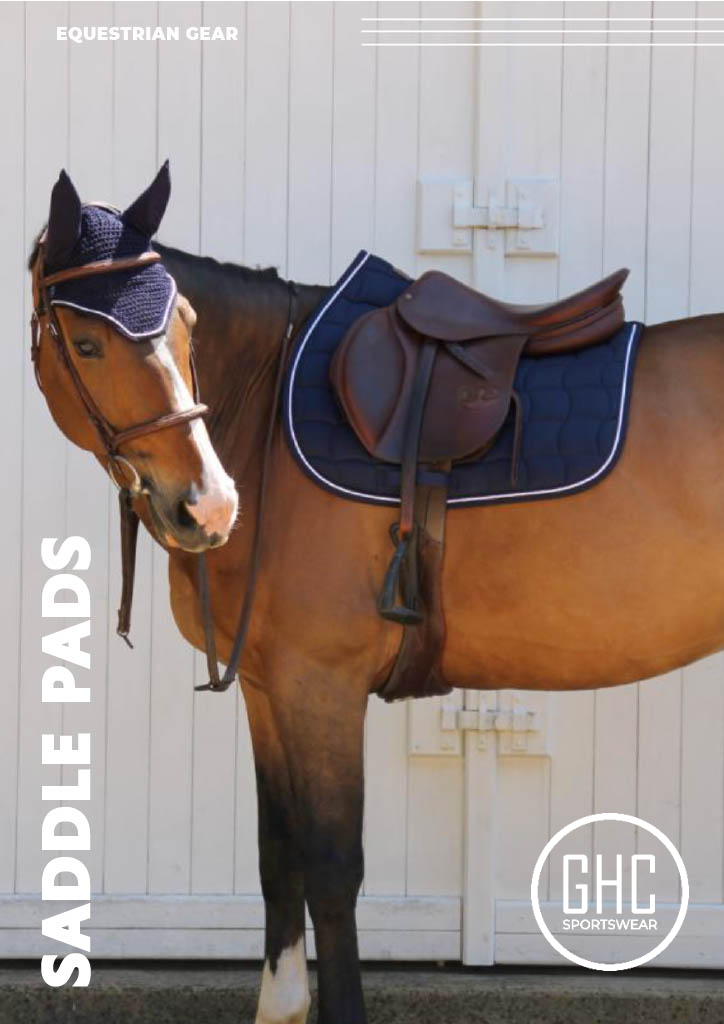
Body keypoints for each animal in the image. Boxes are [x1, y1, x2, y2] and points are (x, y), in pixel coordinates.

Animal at [29, 166, 724, 1024]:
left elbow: (331, 869)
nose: (208, 507)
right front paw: (282, 1004)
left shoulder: (320, 686)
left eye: (186, 326)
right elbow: (278, 855)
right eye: (88, 342)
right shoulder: (268, 687)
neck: (263, 414)